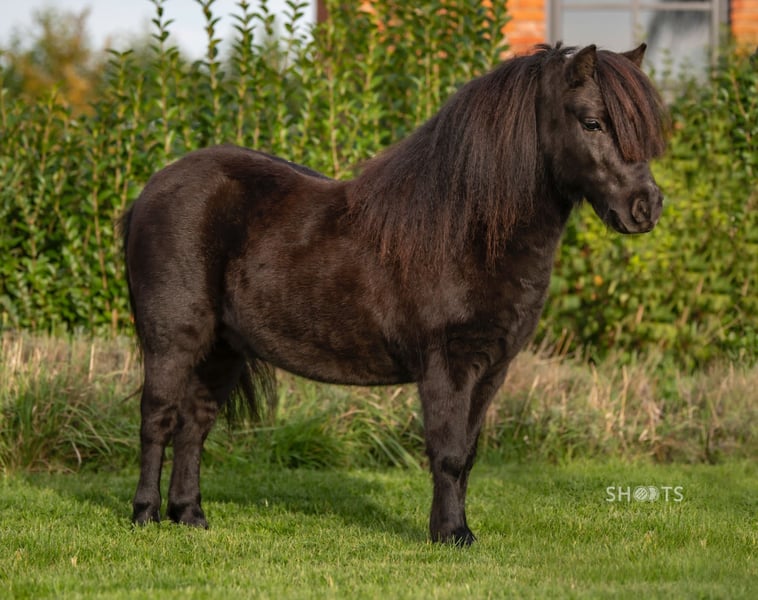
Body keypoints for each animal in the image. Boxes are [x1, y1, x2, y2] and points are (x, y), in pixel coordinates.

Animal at [121, 43, 668, 545]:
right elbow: (448, 453)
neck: (465, 231)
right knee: (157, 419)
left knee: (195, 423)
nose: (646, 207)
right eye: (593, 123)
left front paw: (455, 529)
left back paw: (190, 515)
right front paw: (452, 534)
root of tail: (151, 190)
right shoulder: (447, 365)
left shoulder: (492, 369)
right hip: (173, 342)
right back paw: (145, 514)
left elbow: (468, 454)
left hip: (222, 348)